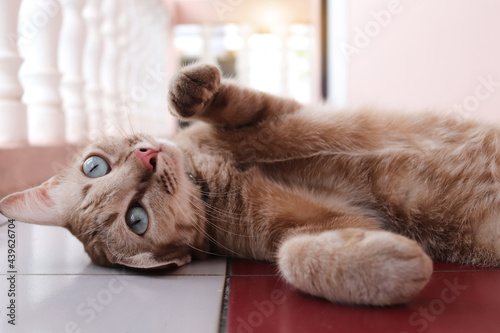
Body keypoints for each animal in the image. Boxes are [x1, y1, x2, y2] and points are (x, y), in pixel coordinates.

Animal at [0, 63, 500, 304]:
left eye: (94, 167)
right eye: (135, 219)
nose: (148, 158)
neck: (217, 173)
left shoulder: (272, 111)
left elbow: (219, 101)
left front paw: (190, 86)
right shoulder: (333, 226)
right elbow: (294, 257)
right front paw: (397, 268)